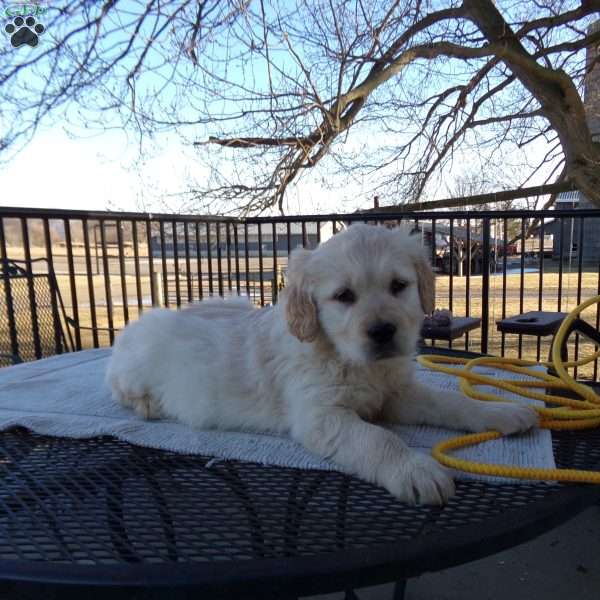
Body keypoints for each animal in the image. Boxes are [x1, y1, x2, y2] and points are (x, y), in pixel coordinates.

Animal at [105, 223, 536, 504]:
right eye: (344, 296)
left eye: (399, 286)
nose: (383, 331)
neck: (349, 359)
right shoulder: (321, 415)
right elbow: (378, 438)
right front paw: (415, 470)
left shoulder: (396, 393)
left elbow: (448, 402)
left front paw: (499, 411)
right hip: (138, 361)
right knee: (121, 389)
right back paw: (148, 405)